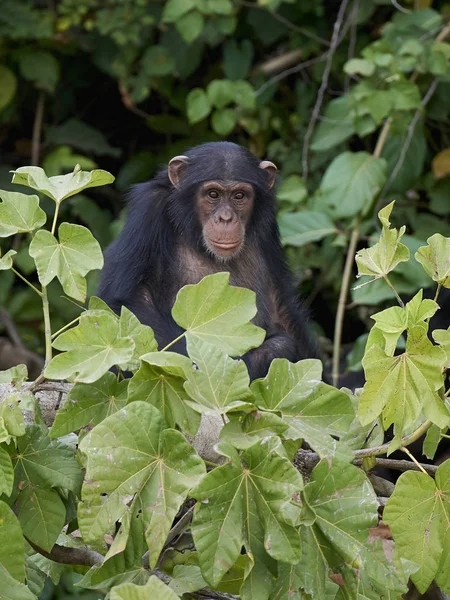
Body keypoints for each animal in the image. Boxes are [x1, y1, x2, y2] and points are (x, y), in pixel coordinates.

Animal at [98, 142, 318, 380]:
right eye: (213, 194)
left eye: (239, 195)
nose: (226, 218)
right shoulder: (148, 209)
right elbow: (128, 302)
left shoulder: (268, 229)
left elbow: (280, 307)